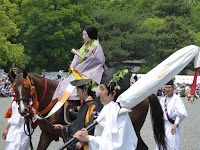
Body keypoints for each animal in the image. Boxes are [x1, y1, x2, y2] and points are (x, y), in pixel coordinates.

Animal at [10, 70, 166, 150]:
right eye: (14, 88)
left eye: (27, 87)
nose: (23, 110)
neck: (53, 102)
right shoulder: (47, 134)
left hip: (133, 127)